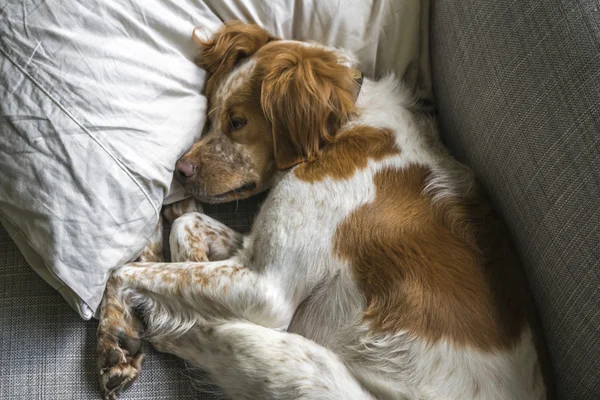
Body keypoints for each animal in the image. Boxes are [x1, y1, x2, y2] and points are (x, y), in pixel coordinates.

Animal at [96, 21, 552, 400]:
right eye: (209, 115)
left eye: (238, 122)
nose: (180, 169)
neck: (343, 128)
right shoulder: (253, 249)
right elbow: (189, 229)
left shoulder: (266, 285)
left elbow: (124, 270)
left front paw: (115, 332)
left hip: (300, 365)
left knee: (206, 328)